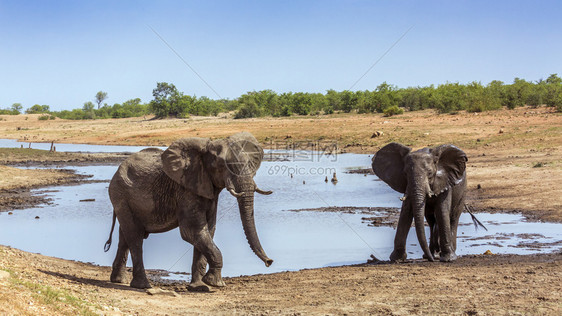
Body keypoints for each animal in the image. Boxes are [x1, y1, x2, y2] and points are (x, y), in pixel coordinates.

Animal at [104, 132, 274, 290]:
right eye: (222, 165)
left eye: (251, 164)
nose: (269, 262)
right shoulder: (186, 190)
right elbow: (193, 231)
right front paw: (214, 283)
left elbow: (208, 231)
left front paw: (199, 287)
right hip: (120, 194)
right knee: (135, 237)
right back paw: (143, 286)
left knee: (124, 236)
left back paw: (119, 280)